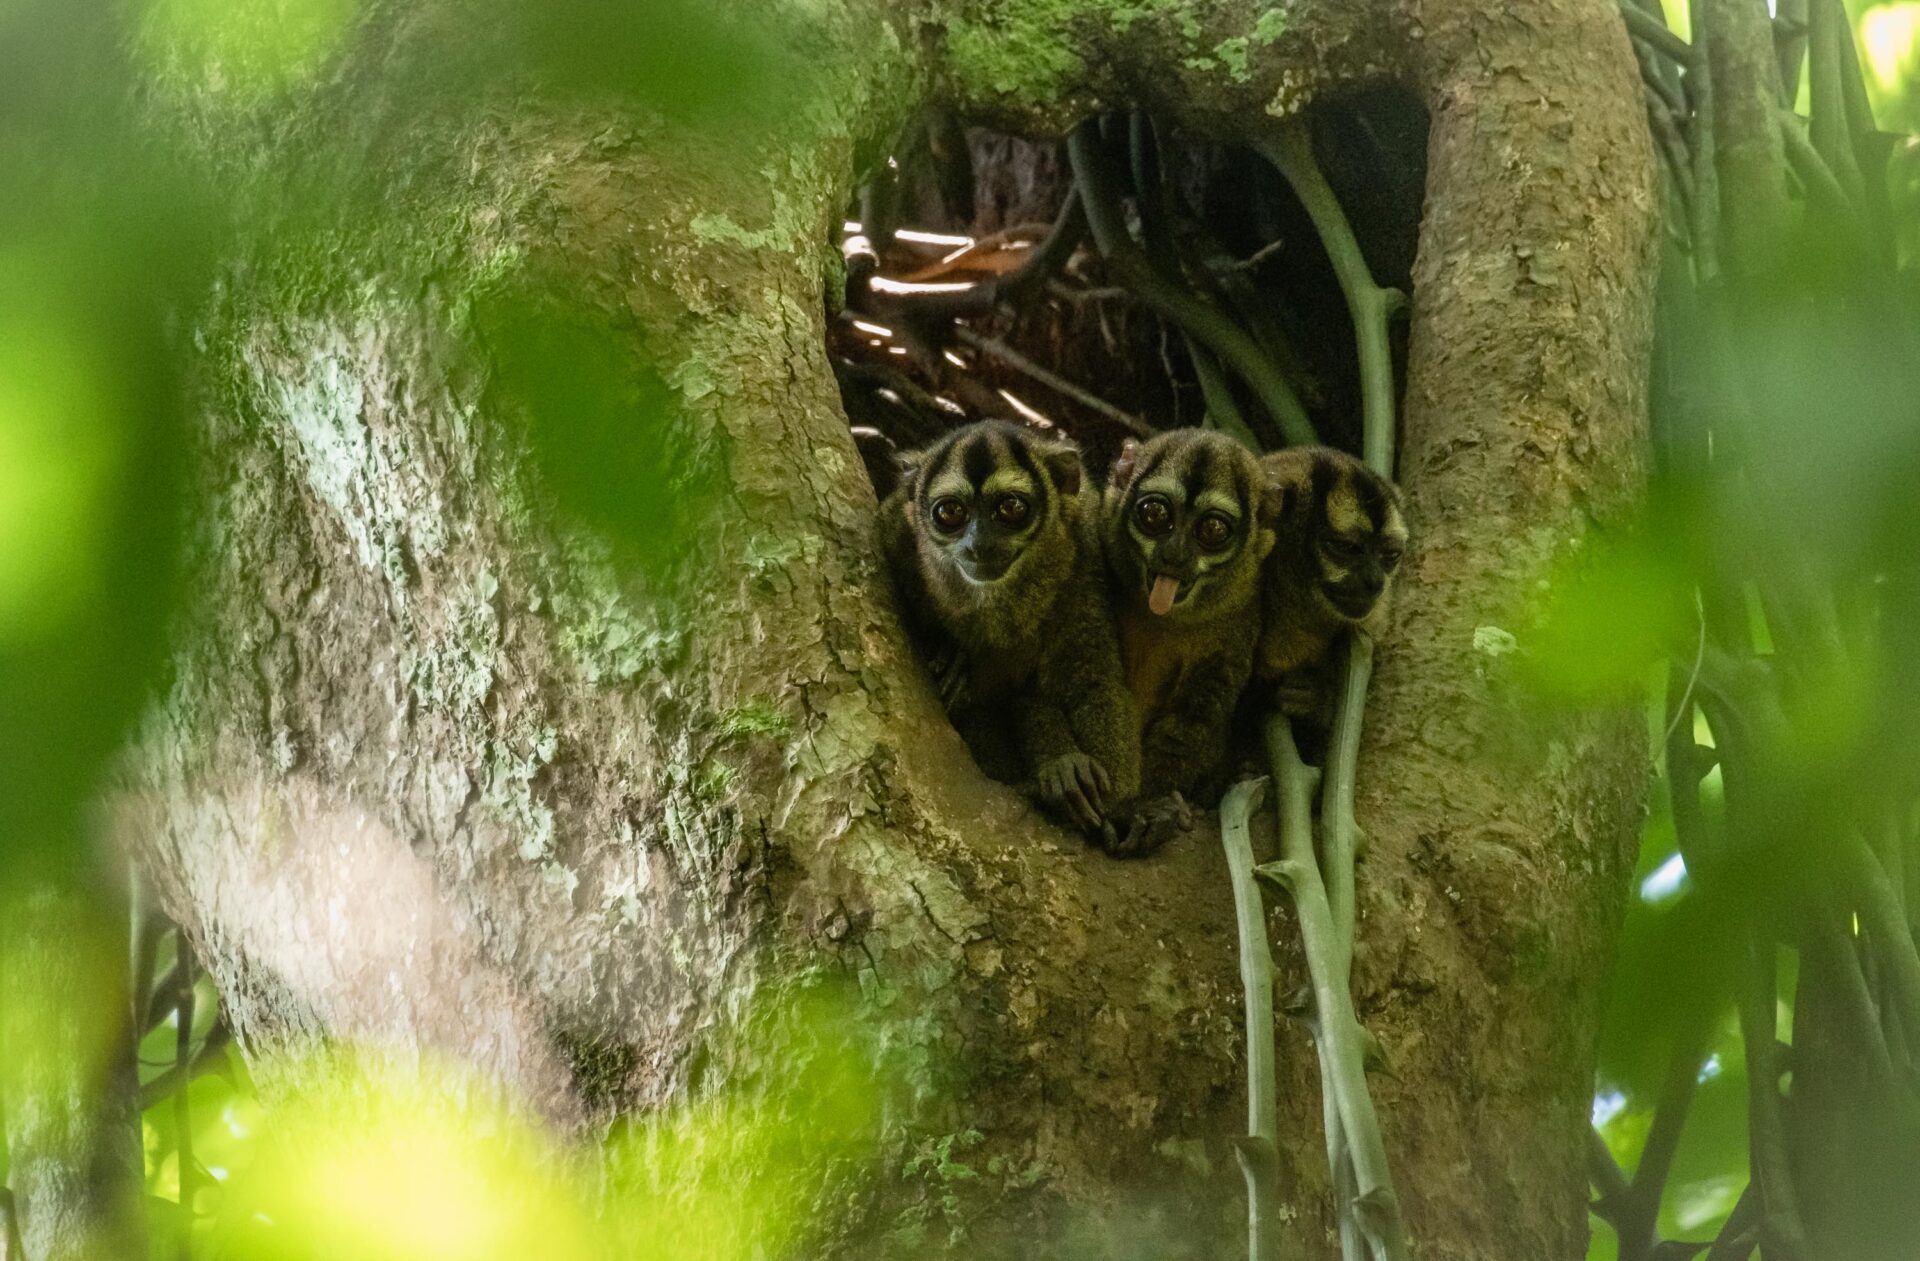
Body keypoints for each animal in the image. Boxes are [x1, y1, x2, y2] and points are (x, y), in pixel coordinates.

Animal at [879, 420, 1144, 851]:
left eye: (1011, 508)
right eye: (950, 512)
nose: (978, 544)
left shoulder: (1086, 554)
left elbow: (1093, 684)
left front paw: (1121, 814)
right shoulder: (894, 530)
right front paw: (946, 654)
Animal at [1102, 427, 1281, 848]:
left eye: (1212, 531)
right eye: (1155, 515)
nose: (1174, 554)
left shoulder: (1235, 633)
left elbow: (1193, 719)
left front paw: (1153, 805)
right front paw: (1132, 809)